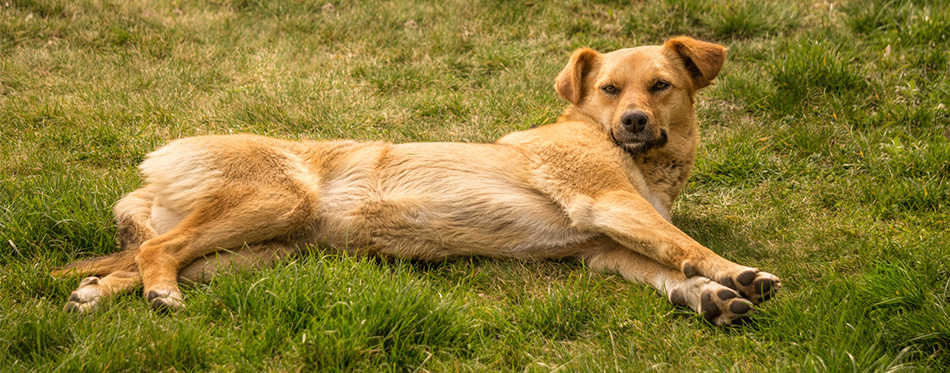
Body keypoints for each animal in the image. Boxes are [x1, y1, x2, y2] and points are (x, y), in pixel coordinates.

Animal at [52, 36, 780, 324]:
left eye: (661, 86)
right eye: (609, 89)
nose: (633, 121)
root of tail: (155, 164)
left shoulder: (604, 246)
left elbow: (665, 270)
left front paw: (709, 297)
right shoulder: (609, 203)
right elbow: (685, 246)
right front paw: (735, 274)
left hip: (255, 251)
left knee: (145, 257)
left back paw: (101, 293)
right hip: (277, 200)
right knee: (158, 251)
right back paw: (162, 295)